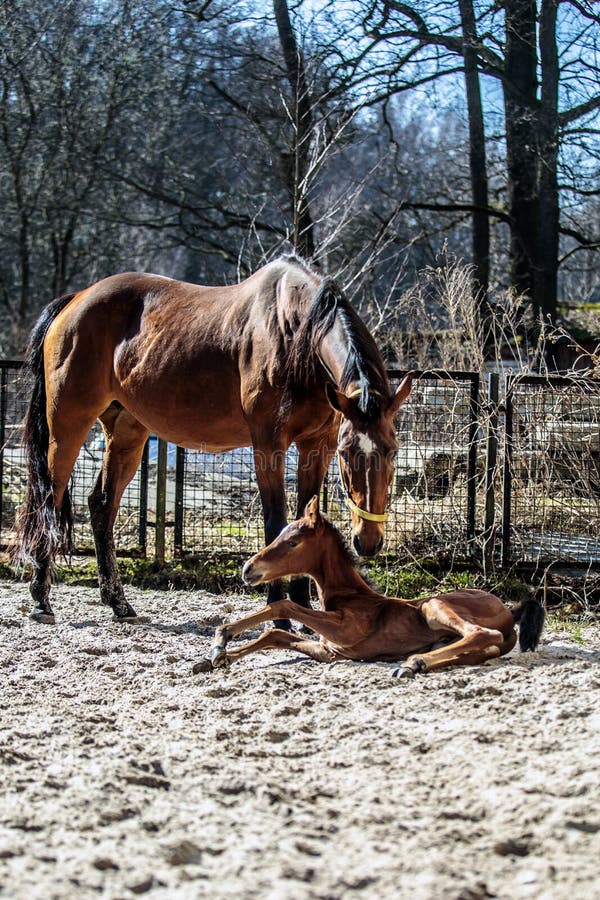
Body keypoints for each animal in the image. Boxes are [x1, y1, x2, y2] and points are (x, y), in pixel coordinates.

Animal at [12, 251, 412, 620]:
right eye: (348, 453)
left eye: (393, 450)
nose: (368, 541)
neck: (297, 333)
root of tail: (76, 300)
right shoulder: (269, 444)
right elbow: (275, 522)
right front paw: (278, 611)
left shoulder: (317, 445)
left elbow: (304, 520)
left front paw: (302, 608)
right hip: (68, 424)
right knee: (48, 497)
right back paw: (41, 598)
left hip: (127, 430)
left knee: (102, 504)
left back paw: (118, 602)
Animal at [206, 496, 544, 680]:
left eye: (292, 542)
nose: (248, 569)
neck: (351, 596)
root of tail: (509, 609)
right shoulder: (329, 652)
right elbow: (275, 635)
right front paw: (218, 656)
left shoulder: (345, 633)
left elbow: (284, 606)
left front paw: (222, 637)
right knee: (479, 647)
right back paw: (417, 662)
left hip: (433, 604)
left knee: (483, 634)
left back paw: (413, 663)